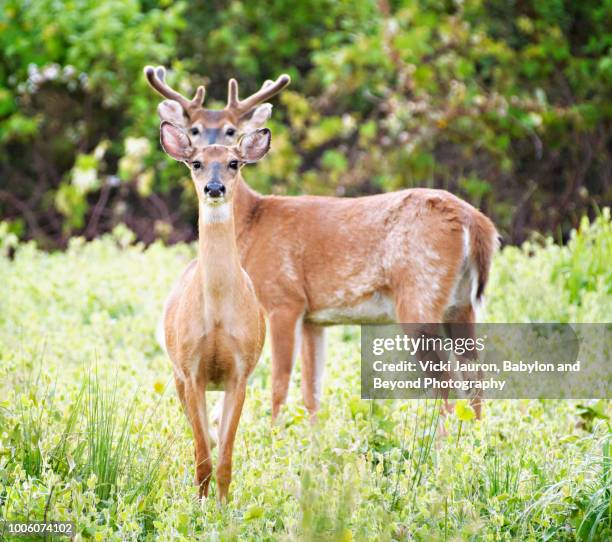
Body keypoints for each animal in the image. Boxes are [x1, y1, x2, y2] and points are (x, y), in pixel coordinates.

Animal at [146, 68, 500, 422]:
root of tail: (474, 222)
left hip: (420, 293)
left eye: (231, 130)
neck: (253, 223)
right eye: (194, 129)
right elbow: (311, 392)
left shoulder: (283, 299)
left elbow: (279, 383)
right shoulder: (315, 318)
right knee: (474, 373)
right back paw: (474, 433)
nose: (214, 183)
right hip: (460, 303)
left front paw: (275, 431)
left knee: (446, 377)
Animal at [158, 122, 268, 502]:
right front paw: (200, 506)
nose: (215, 187)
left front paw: (222, 507)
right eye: (196, 163)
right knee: (200, 439)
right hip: (177, 376)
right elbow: (203, 455)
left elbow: (224, 458)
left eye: (234, 162)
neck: (219, 314)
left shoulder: (240, 372)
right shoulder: (191, 370)